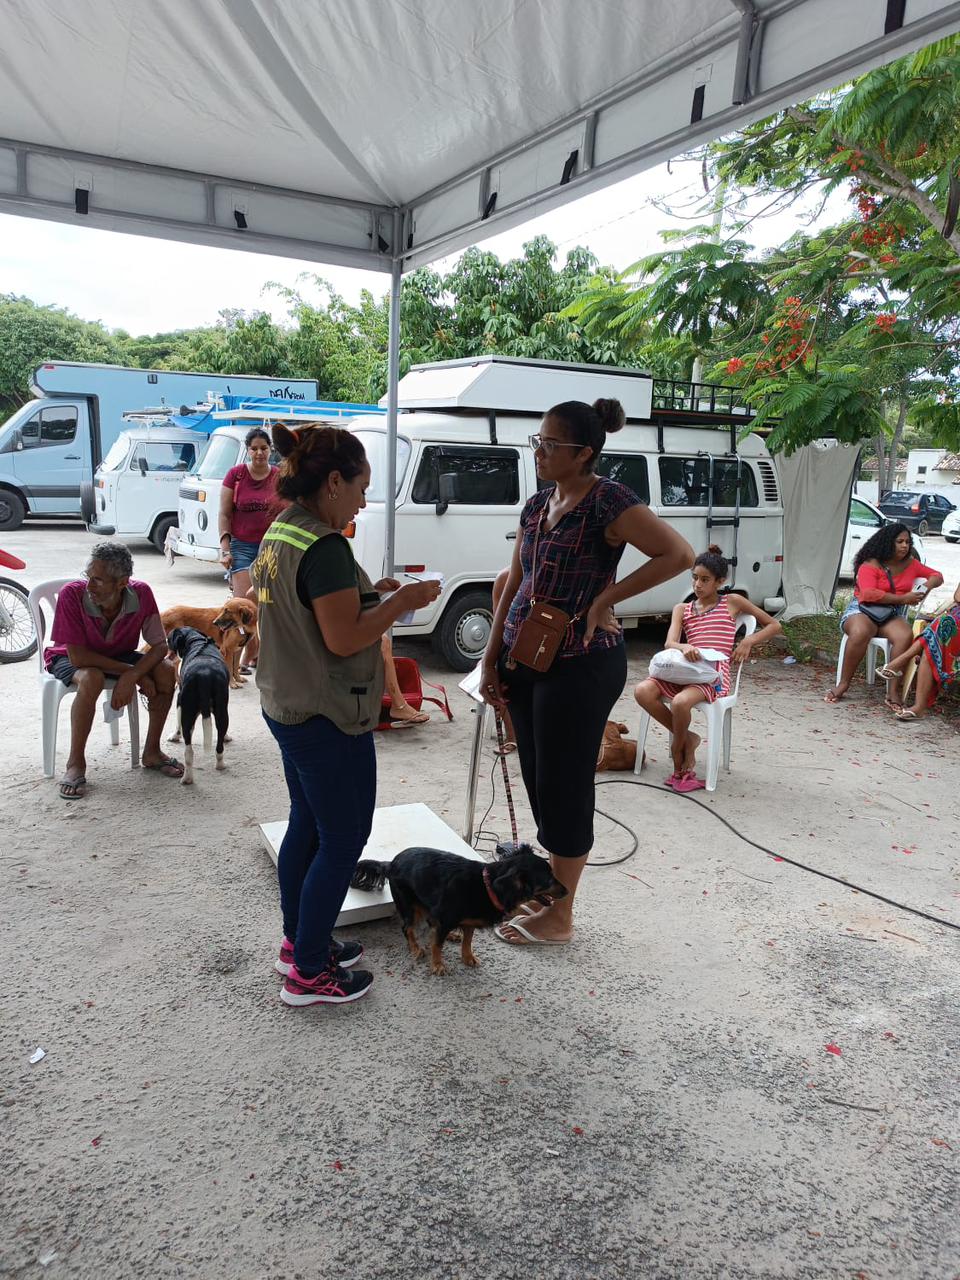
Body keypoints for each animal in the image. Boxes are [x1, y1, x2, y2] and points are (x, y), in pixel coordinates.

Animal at [165, 627, 231, 783]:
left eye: (169, 637)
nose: (165, 639)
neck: (196, 640)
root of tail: (204, 676)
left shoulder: (179, 698)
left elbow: (178, 724)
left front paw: (175, 736)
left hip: (189, 711)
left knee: (189, 751)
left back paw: (188, 778)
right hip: (221, 711)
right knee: (216, 746)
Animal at [350, 844, 563, 972]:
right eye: (548, 880)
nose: (567, 891)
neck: (486, 886)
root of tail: (390, 863)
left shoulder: (468, 922)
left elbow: (467, 941)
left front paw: (468, 957)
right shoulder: (445, 918)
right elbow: (437, 944)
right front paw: (437, 965)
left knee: (430, 922)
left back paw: (451, 935)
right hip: (409, 905)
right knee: (407, 928)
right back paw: (415, 948)